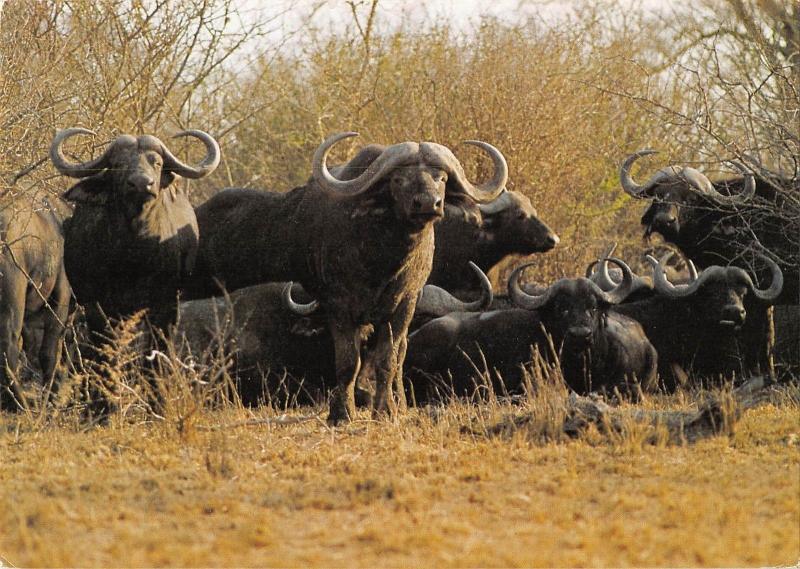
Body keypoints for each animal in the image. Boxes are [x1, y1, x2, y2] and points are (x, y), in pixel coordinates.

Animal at [0, 195, 70, 408]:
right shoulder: (61, 299)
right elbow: (49, 352)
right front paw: (50, 397)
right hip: (11, 304)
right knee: (9, 345)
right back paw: (20, 401)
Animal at [189, 133, 506, 424]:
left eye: (441, 178)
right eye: (398, 179)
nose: (429, 203)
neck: (383, 260)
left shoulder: (403, 305)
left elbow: (388, 359)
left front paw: (386, 410)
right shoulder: (339, 307)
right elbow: (347, 362)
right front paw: (341, 413)